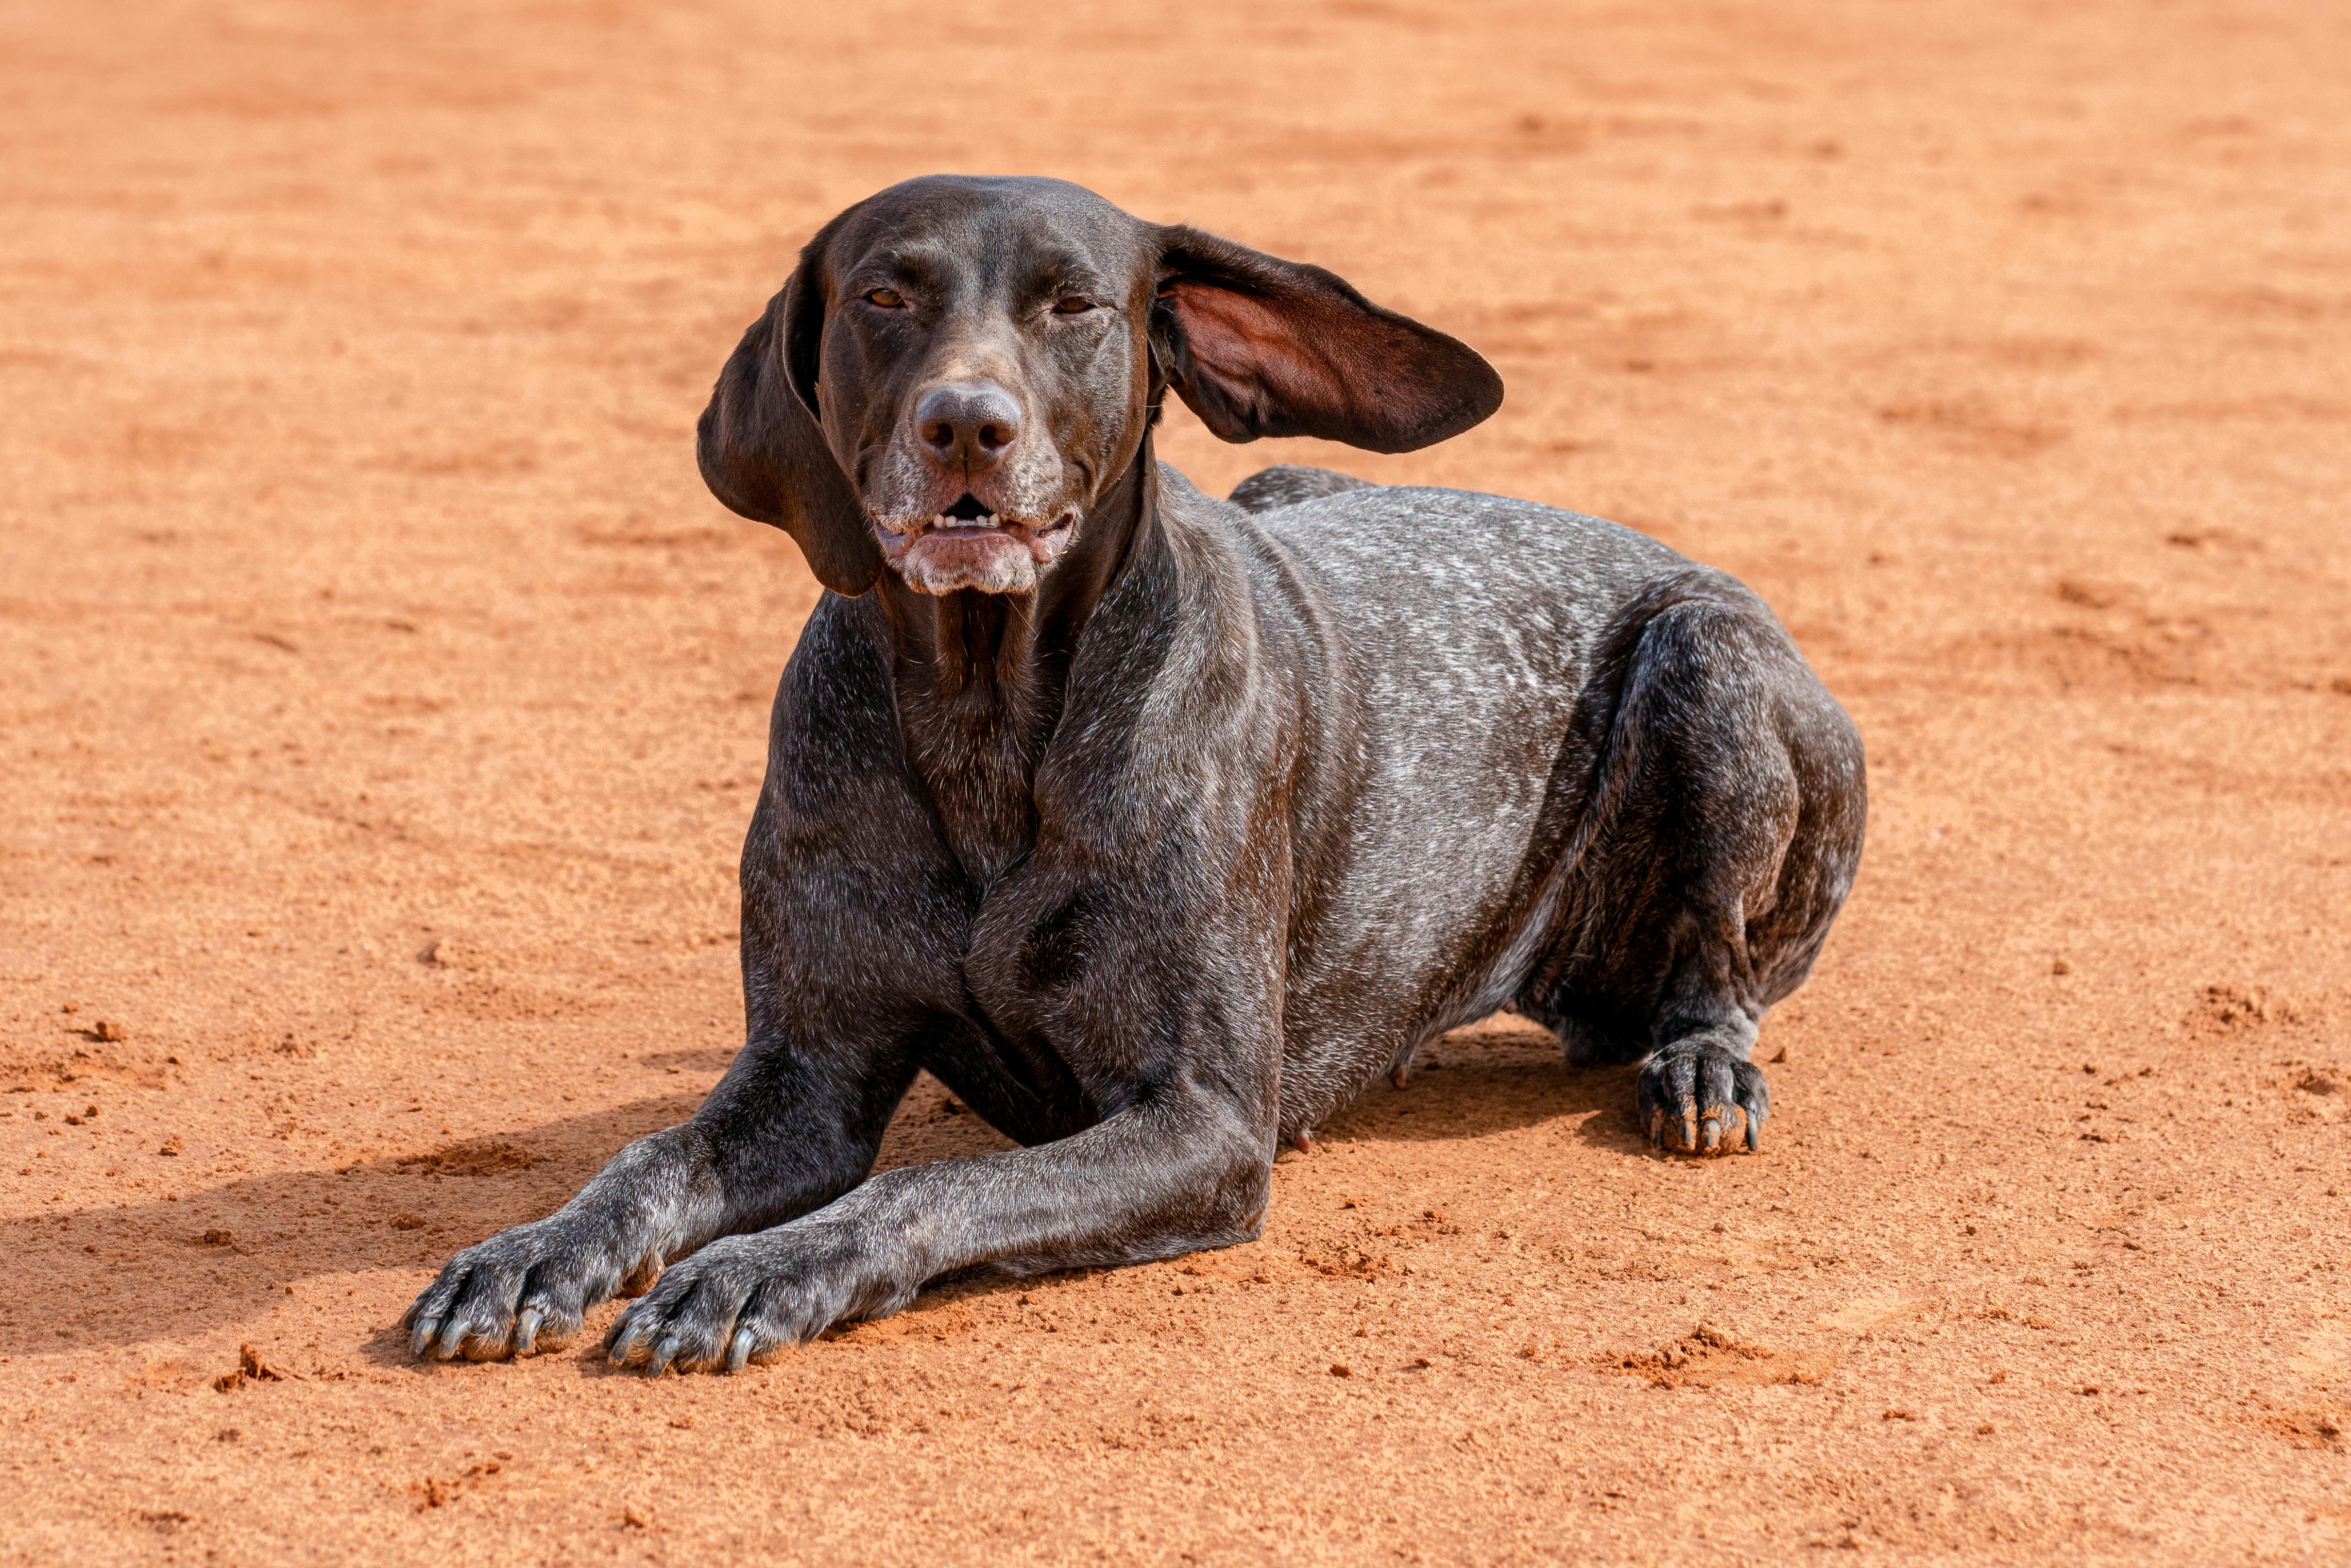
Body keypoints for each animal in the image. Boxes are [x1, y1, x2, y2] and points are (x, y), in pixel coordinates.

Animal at [409, 175, 1871, 1373]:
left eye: (1076, 306)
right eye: (885, 295)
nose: (966, 428)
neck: (986, 718)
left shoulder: (1201, 1123)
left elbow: (919, 1190)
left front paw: (755, 1272)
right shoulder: (805, 1079)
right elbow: (646, 1160)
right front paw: (531, 1249)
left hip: (1712, 658)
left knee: (1719, 977)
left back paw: (1702, 1068)